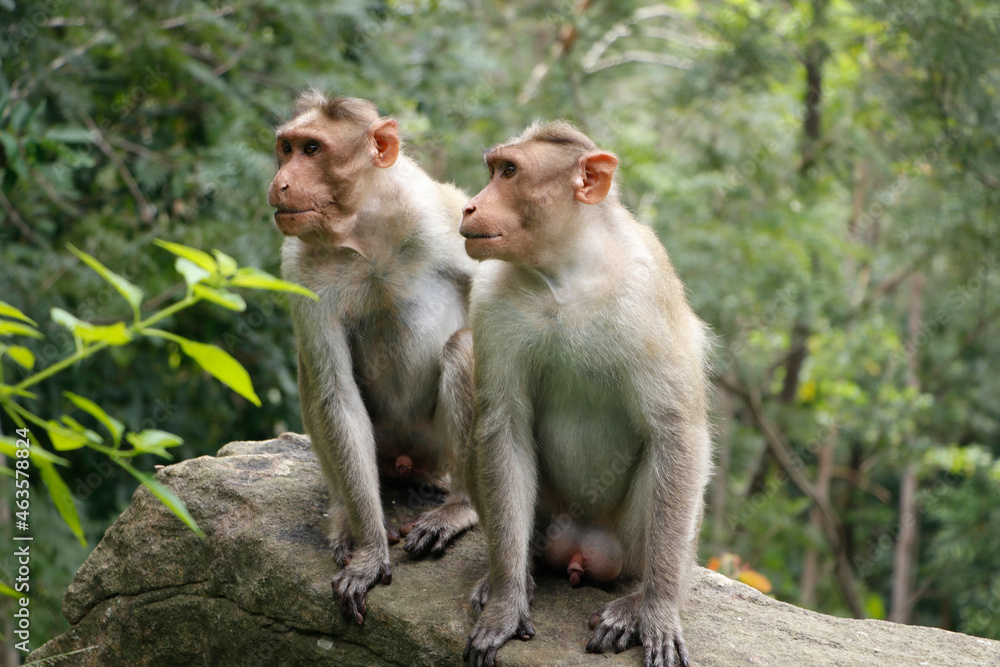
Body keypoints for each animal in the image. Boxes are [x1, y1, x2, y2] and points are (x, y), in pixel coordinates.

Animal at [268, 90, 479, 626]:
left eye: (313, 149)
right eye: (286, 148)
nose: (280, 182)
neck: (364, 232)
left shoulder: (447, 215)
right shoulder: (298, 266)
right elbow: (336, 392)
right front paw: (370, 552)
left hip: (436, 447)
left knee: (464, 347)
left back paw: (462, 507)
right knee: (315, 374)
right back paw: (348, 516)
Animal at [458, 121, 711, 667]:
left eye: (509, 172)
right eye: (494, 169)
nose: (469, 207)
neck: (567, 275)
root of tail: (580, 551)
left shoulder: (649, 289)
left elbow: (677, 433)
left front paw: (659, 609)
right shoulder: (490, 300)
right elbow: (504, 425)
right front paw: (507, 601)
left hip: (629, 548)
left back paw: (640, 600)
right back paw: (513, 573)